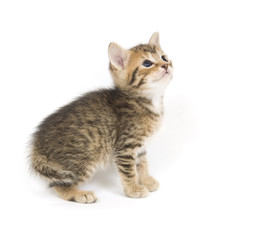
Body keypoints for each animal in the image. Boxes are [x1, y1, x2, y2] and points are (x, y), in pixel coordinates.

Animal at [29, 32, 172, 203]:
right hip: (85, 160)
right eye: (147, 63)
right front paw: (134, 189)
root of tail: (37, 147)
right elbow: (129, 171)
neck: (148, 100)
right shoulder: (125, 147)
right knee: (60, 185)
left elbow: (142, 164)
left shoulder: (140, 147)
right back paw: (80, 194)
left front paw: (146, 180)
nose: (166, 65)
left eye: (164, 57)